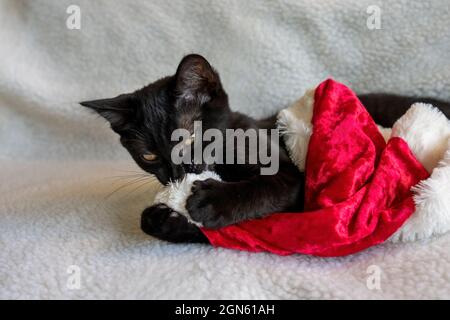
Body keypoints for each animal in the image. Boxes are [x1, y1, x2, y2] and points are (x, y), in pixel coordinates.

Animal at [81, 53, 450, 244]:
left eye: (188, 139)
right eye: (149, 155)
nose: (176, 173)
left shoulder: (296, 180)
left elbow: (262, 190)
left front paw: (212, 201)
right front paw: (161, 219)